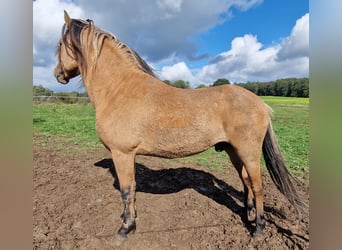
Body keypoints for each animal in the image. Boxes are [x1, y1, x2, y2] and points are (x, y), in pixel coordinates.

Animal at [54, 11, 306, 238]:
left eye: (60, 44)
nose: (58, 74)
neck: (119, 89)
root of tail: (261, 104)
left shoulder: (122, 153)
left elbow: (126, 191)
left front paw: (126, 228)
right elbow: (132, 190)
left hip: (249, 152)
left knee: (257, 186)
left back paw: (259, 230)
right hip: (234, 151)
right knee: (246, 183)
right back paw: (247, 215)